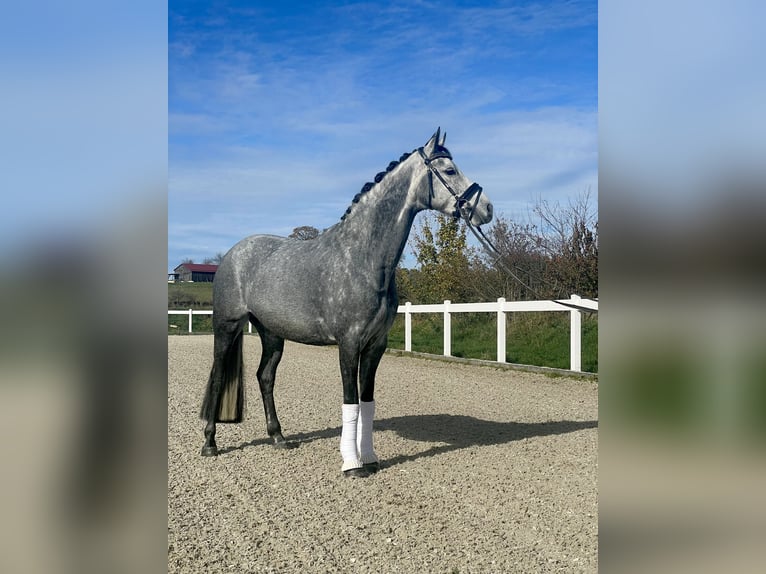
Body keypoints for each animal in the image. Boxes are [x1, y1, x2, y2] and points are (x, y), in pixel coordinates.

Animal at [201, 128, 496, 480]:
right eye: (449, 170)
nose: (487, 209)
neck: (362, 258)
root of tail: (232, 254)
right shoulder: (349, 343)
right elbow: (350, 402)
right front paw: (352, 465)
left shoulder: (375, 345)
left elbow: (367, 403)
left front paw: (369, 458)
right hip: (227, 327)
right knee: (219, 376)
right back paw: (210, 444)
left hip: (271, 334)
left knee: (265, 377)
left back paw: (278, 437)